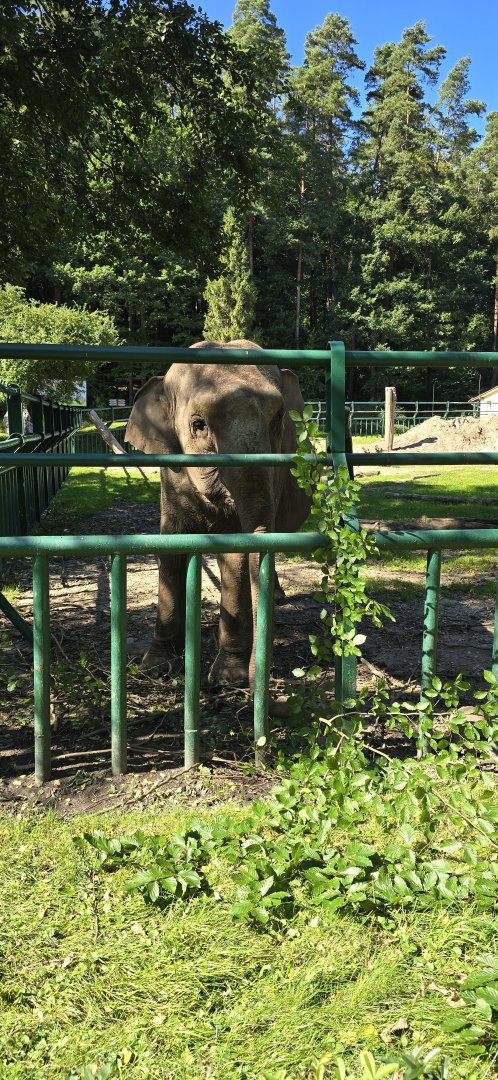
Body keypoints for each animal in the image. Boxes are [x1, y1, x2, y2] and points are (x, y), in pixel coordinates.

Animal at [125, 339, 312, 704]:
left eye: (278, 417)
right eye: (199, 425)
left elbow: (237, 555)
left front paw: (227, 680)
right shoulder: (171, 479)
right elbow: (171, 548)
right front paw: (155, 668)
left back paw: (276, 600)